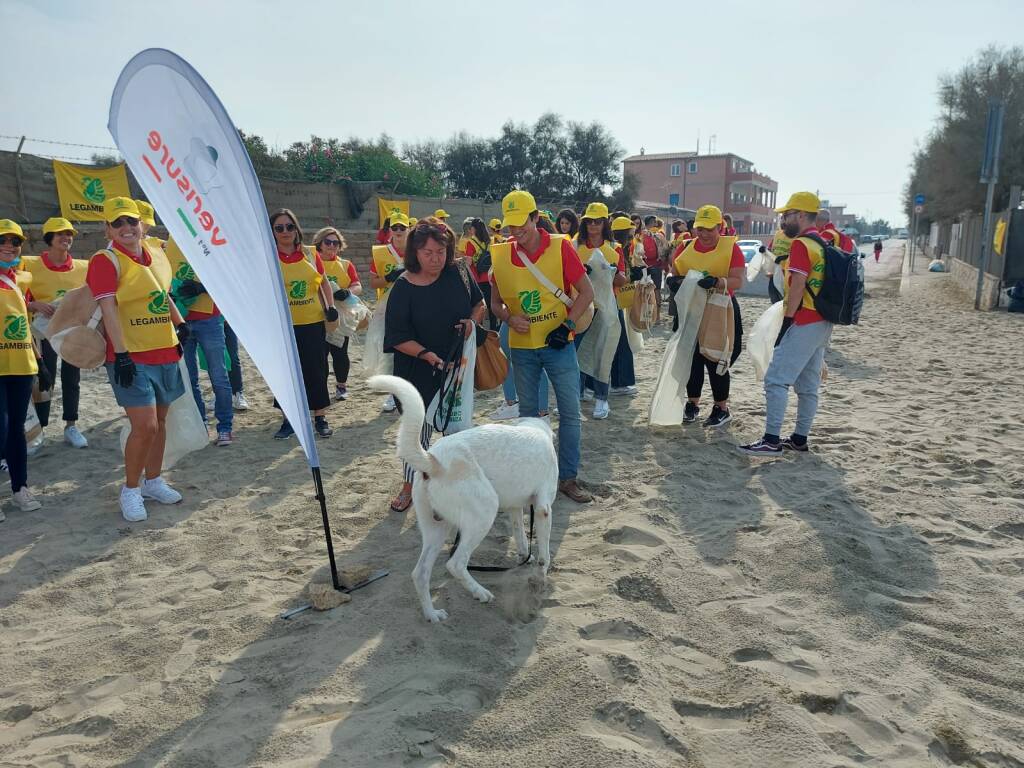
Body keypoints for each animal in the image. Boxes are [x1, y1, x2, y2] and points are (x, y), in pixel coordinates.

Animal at [370, 374, 561, 626]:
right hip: (484, 513)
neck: (534, 428)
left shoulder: (514, 507)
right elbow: (544, 555)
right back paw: (481, 593)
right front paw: (540, 577)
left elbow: (520, 534)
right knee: (456, 564)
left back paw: (433, 615)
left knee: (420, 573)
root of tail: (433, 461)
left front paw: (524, 557)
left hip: (437, 528)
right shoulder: (543, 509)